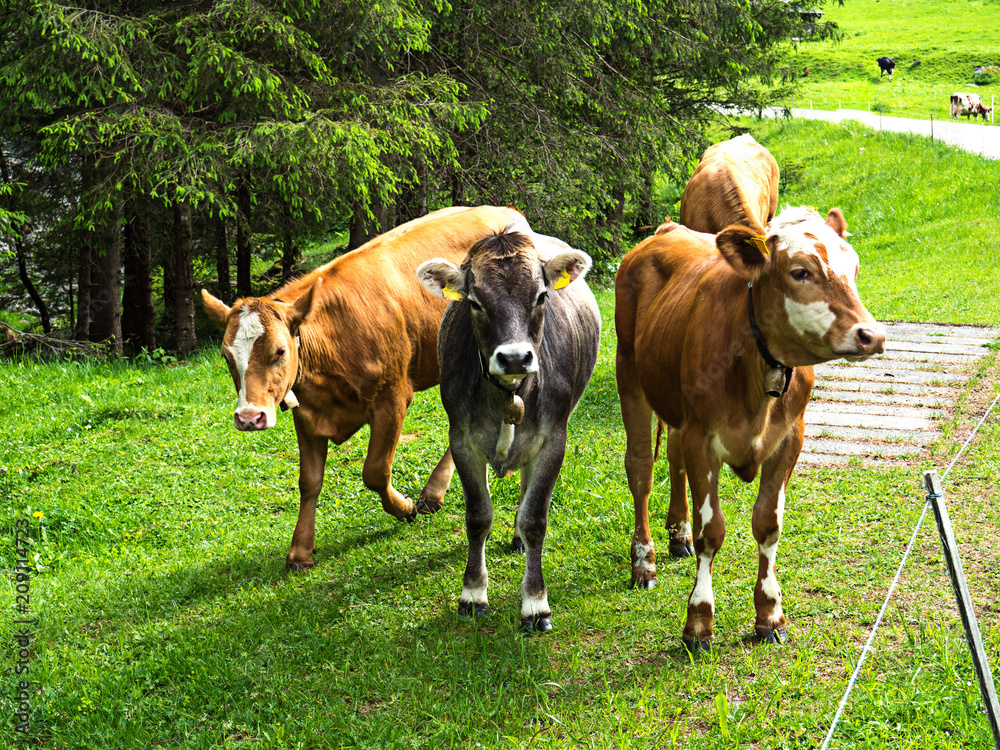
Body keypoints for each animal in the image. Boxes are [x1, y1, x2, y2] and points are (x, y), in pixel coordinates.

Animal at [201, 205, 527, 571]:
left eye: (280, 351)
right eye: (227, 356)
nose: (249, 417)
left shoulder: (393, 397)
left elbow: (374, 471)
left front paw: (404, 507)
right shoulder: (307, 413)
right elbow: (308, 482)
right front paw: (300, 550)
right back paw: (434, 492)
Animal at [417, 222, 600, 632]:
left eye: (541, 295)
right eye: (474, 302)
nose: (515, 357)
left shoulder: (553, 441)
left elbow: (535, 519)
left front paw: (535, 602)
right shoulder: (462, 440)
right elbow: (478, 516)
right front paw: (472, 593)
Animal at [615, 205, 886, 651]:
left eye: (855, 268)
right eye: (800, 272)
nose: (872, 335)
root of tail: (666, 230)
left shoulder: (790, 438)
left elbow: (768, 525)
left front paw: (770, 613)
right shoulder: (703, 438)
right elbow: (712, 532)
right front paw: (698, 621)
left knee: (672, 455)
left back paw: (678, 533)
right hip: (630, 374)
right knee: (640, 470)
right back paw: (644, 562)